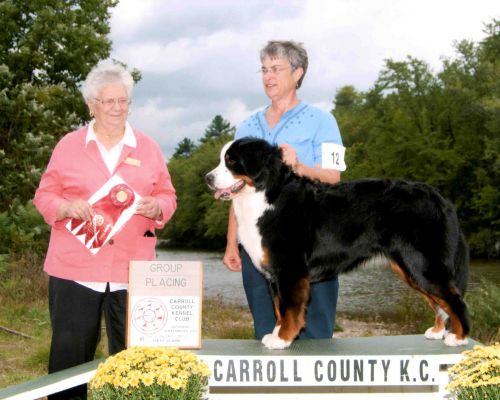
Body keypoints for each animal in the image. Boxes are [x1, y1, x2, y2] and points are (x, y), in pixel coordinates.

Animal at [204, 138, 468, 350]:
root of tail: (440, 198)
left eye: (231, 161)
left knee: (456, 301)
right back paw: (438, 331)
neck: (266, 197)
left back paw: (458, 337)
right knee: (440, 302)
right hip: (411, 268)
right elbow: (279, 308)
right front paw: (276, 334)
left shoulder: (290, 269)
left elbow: (289, 309)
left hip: (423, 263)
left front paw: (283, 339)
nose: (207, 178)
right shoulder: (275, 274)